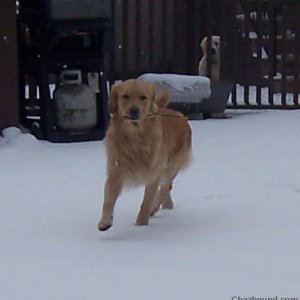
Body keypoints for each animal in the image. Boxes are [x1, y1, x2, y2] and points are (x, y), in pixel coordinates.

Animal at [98, 78, 192, 231]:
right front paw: (105, 221)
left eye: (143, 97)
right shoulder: (115, 172)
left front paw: (141, 225)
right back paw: (167, 206)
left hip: (172, 166)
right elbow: (108, 200)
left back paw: (155, 207)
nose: (134, 110)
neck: (135, 138)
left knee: (165, 187)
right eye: (125, 96)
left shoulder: (153, 174)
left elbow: (146, 201)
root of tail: (180, 115)